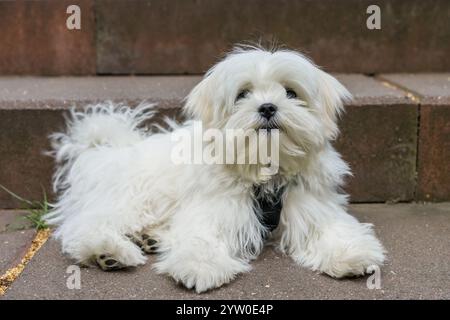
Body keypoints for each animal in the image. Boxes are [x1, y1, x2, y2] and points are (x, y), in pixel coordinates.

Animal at [44, 46, 384, 294]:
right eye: (243, 94)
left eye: (290, 92)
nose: (268, 107)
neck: (265, 171)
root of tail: (106, 148)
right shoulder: (215, 210)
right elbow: (201, 238)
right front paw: (199, 267)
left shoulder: (310, 205)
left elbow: (331, 229)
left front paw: (351, 253)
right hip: (134, 196)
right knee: (86, 224)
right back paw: (109, 251)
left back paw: (150, 239)